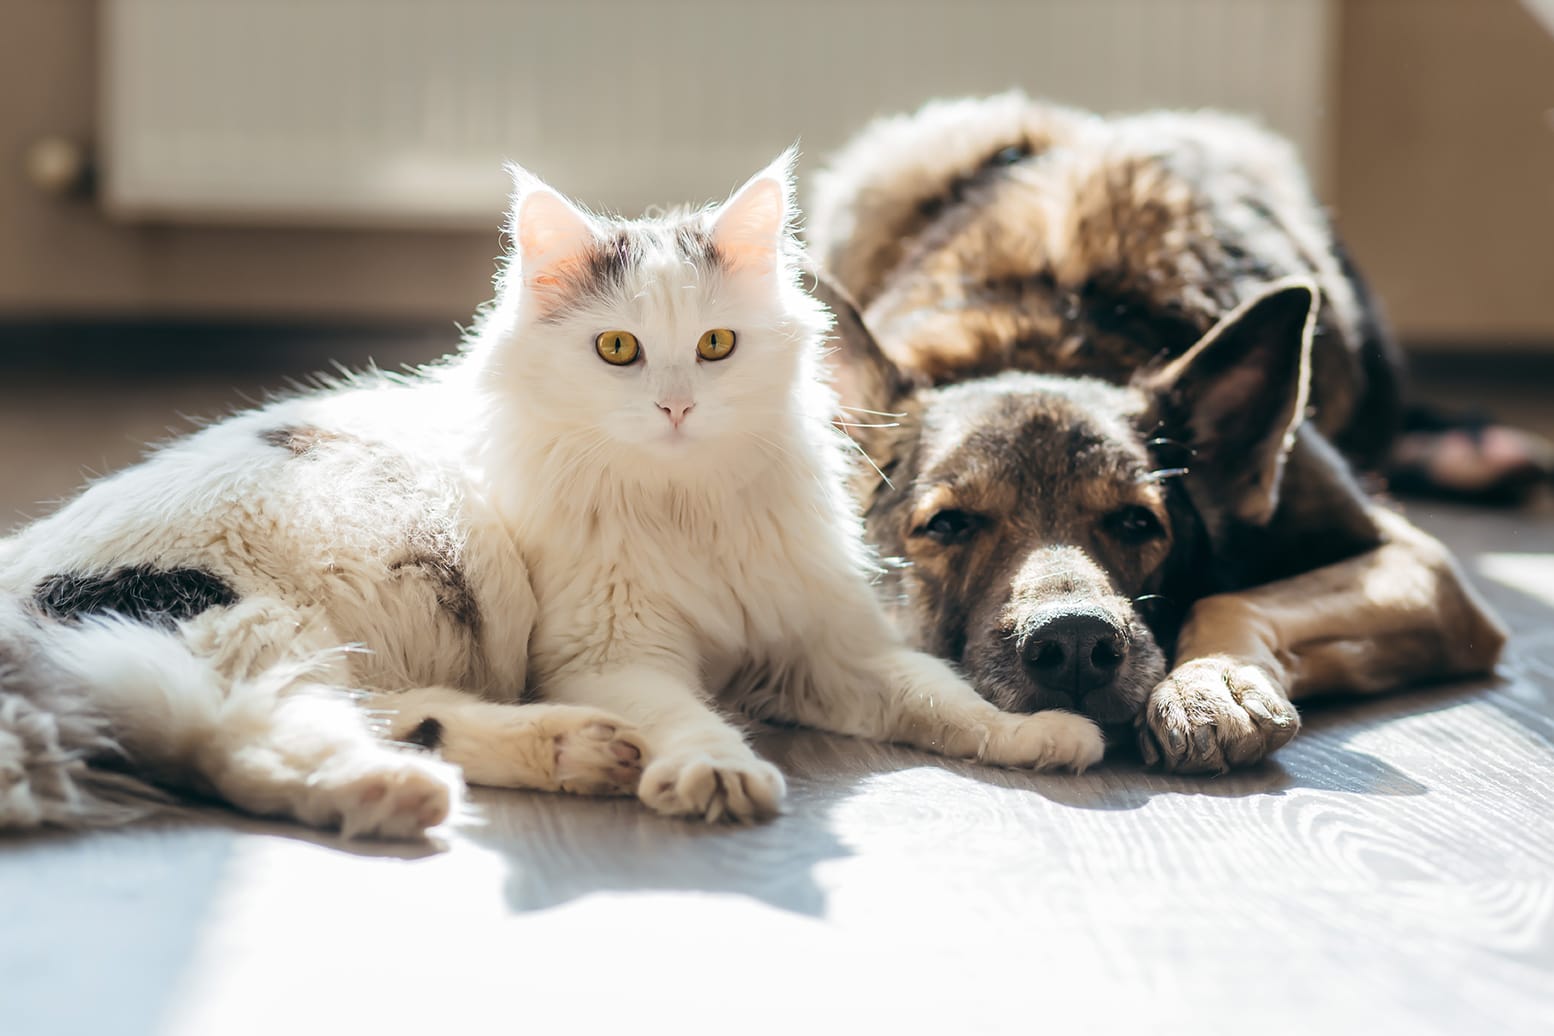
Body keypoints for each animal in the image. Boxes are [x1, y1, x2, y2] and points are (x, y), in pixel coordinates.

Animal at [0, 152, 1106, 832]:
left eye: (716, 344)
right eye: (618, 349)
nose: (674, 406)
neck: (686, 503)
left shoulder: (824, 648)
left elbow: (941, 696)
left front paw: (1044, 734)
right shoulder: (610, 651)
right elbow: (690, 715)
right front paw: (716, 774)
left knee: (373, 717)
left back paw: (573, 752)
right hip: (268, 614)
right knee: (241, 740)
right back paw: (418, 791)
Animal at [801, 97, 1504, 773]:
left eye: (1138, 522)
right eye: (948, 524)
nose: (1075, 643)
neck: (1045, 335)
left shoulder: (1423, 570)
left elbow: (1226, 601)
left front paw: (1212, 680)